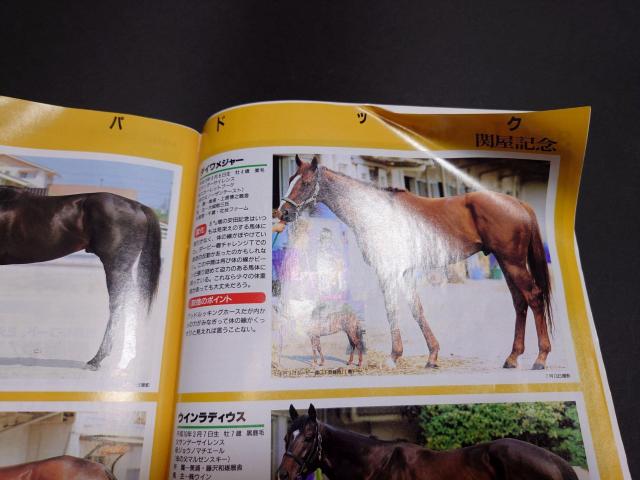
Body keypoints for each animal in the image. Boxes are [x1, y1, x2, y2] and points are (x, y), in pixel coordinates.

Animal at [277, 156, 553, 370]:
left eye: (305, 182)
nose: (283, 213)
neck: (376, 213)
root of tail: (519, 203)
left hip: (513, 263)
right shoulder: (406, 273)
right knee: (519, 303)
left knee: (534, 298)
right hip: (507, 264)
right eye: (290, 178)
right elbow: (416, 310)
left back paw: (540, 358)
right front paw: (432, 356)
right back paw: (512, 357)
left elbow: (393, 310)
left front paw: (393, 357)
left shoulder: (388, 272)